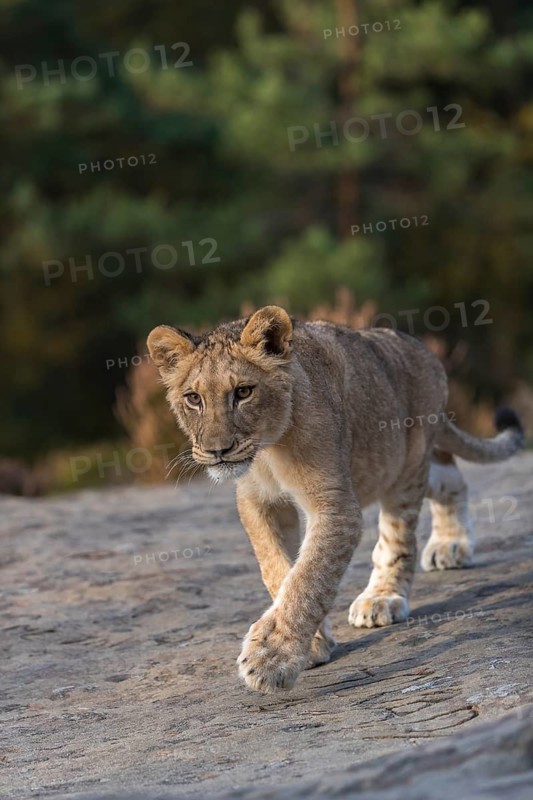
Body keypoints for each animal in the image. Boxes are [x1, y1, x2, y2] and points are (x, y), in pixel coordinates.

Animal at [147, 305, 524, 694]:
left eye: (244, 392)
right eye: (193, 398)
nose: (217, 451)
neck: (268, 451)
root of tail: (423, 350)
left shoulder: (335, 504)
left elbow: (308, 578)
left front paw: (272, 657)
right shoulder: (257, 502)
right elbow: (278, 569)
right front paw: (313, 642)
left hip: (404, 466)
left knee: (398, 537)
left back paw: (383, 596)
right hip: (397, 467)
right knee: (450, 478)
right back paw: (452, 545)